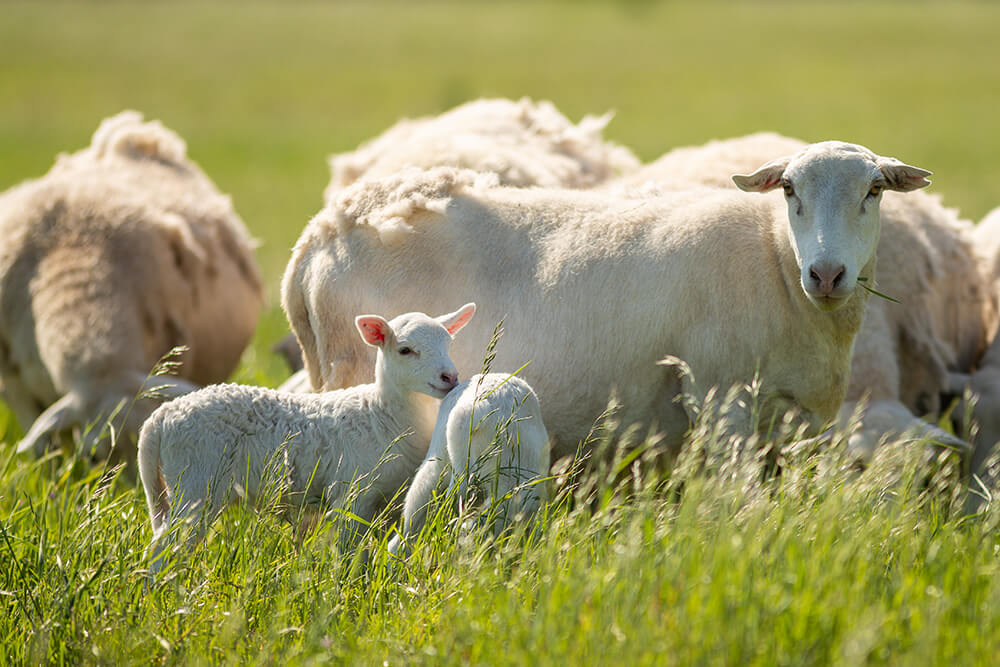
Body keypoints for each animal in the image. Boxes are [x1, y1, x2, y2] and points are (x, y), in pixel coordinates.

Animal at [137, 304, 476, 576]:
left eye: (449, 343)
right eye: (405, 350)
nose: (450, 377)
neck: (383, 413)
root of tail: (161, 417)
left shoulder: (389, 502)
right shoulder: (352, 495)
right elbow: (351, 554)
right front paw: (348, 592)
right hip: (196, 483)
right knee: (164, 548)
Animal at [280, 141, 928, 464]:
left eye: (874, 190)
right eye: (790, 188)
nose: (827, 273)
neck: (774, 262)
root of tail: (314, 238)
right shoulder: (718, 395)